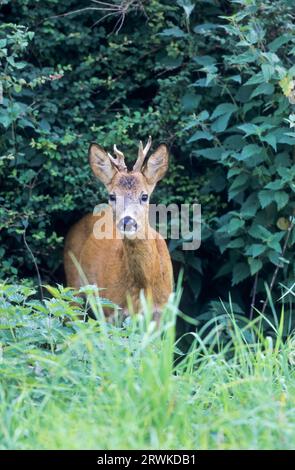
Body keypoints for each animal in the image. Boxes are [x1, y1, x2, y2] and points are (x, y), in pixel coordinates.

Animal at [65, 138, 173, 318]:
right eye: (112, 196)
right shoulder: (112, 308)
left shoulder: (163, 310)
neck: (145, 284)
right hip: (73, 283)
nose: (127, 221)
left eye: (144, 196)